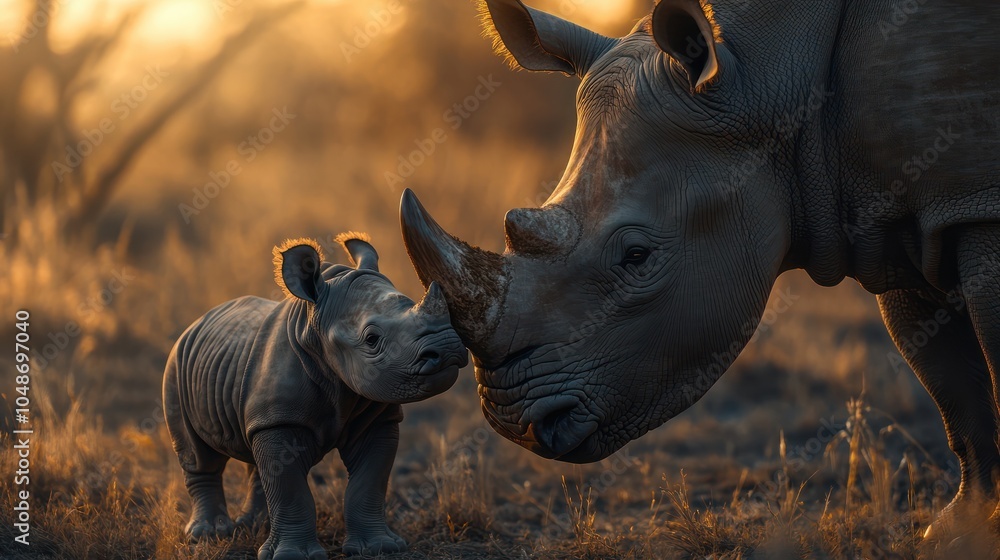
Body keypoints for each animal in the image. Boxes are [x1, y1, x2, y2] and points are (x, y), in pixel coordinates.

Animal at [163, 233, 467, 559]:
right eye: (372, 339)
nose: (447, 347)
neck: (314, 326)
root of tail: (199, 320)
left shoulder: (376, 417)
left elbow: (369, 481)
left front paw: (379, 547)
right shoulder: (281, 419)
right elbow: (290, 489)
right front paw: (293, 555)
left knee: (255, 453)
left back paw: (253, 527)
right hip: (176, 365)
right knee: (200, 457)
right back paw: (208, 536)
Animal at [400, 0, 1000, 537]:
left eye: (637, 257)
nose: (513, 421)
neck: (763, 74)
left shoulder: (974, 205)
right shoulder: (891, 216)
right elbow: (952, 388)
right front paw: (960, 532)